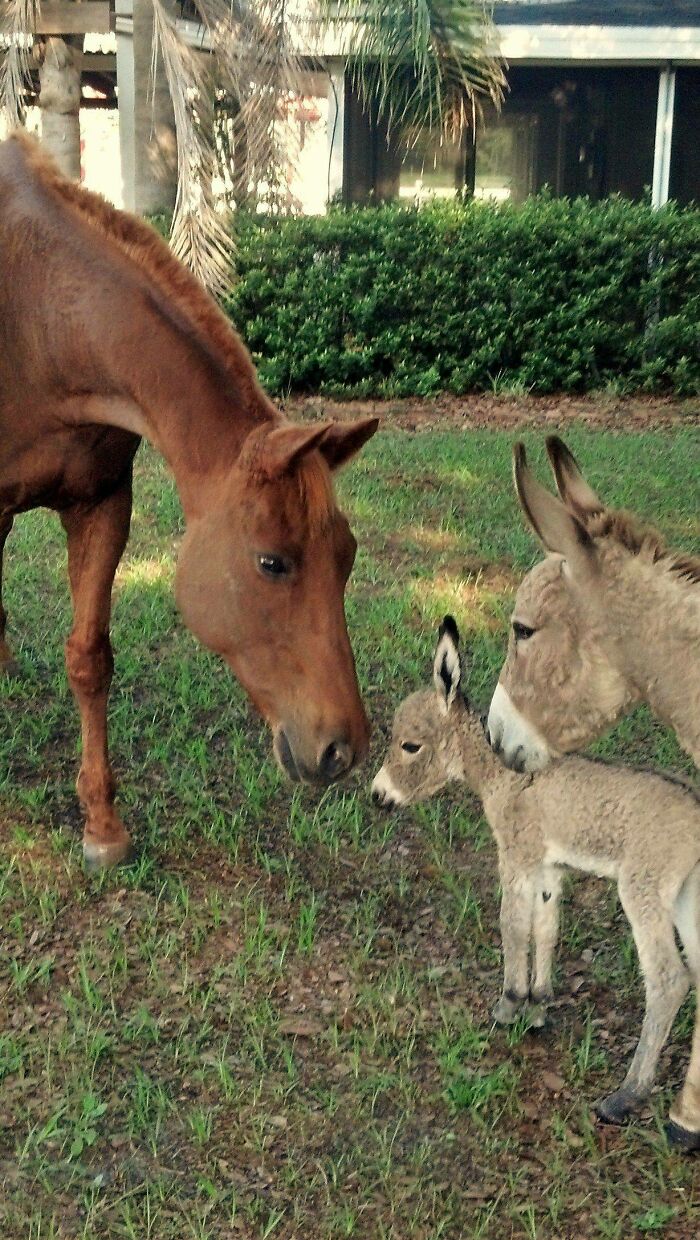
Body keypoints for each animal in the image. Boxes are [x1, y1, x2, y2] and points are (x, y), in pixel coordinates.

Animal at [0, 135, 376, 868]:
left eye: (347, 558)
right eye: (271, 563)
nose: (341, 750)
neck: (40, 319)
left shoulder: (102, 504)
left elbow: (90, 659)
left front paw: (103, 824)